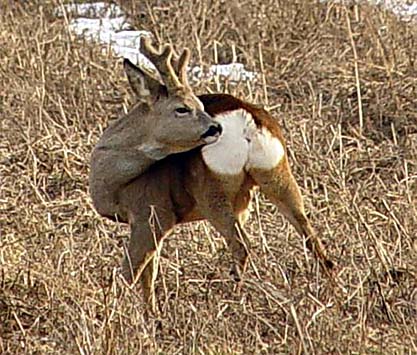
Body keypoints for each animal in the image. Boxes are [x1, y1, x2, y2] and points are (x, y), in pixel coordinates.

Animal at [88, 40, 332, 310]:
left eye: (198, 105)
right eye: (182, 108)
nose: (215, 127)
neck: (115, 182)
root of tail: (247, 120)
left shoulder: (153, 212)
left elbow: (130, 275)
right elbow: (148, 277)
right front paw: (152, 314)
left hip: (211, 190)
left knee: (241, 244)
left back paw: (234, 297)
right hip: (276, 175)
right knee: (312, 238)